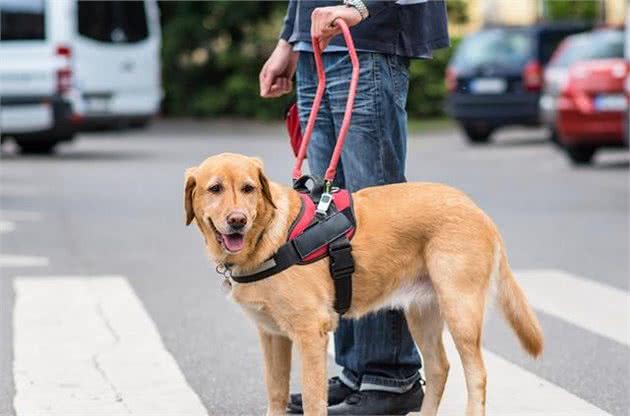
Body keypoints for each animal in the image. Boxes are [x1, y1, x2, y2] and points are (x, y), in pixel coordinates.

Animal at [185, 153, 544, 416]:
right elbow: (276, 394)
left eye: (249, 189)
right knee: (439, 368)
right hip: (422, 313)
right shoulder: (272, 335)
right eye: (215, 189)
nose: (237, 221)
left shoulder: (310, 334)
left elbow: (313, 401)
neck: (266, 239)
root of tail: (474, 207)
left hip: (460, 311)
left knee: (477, 376)